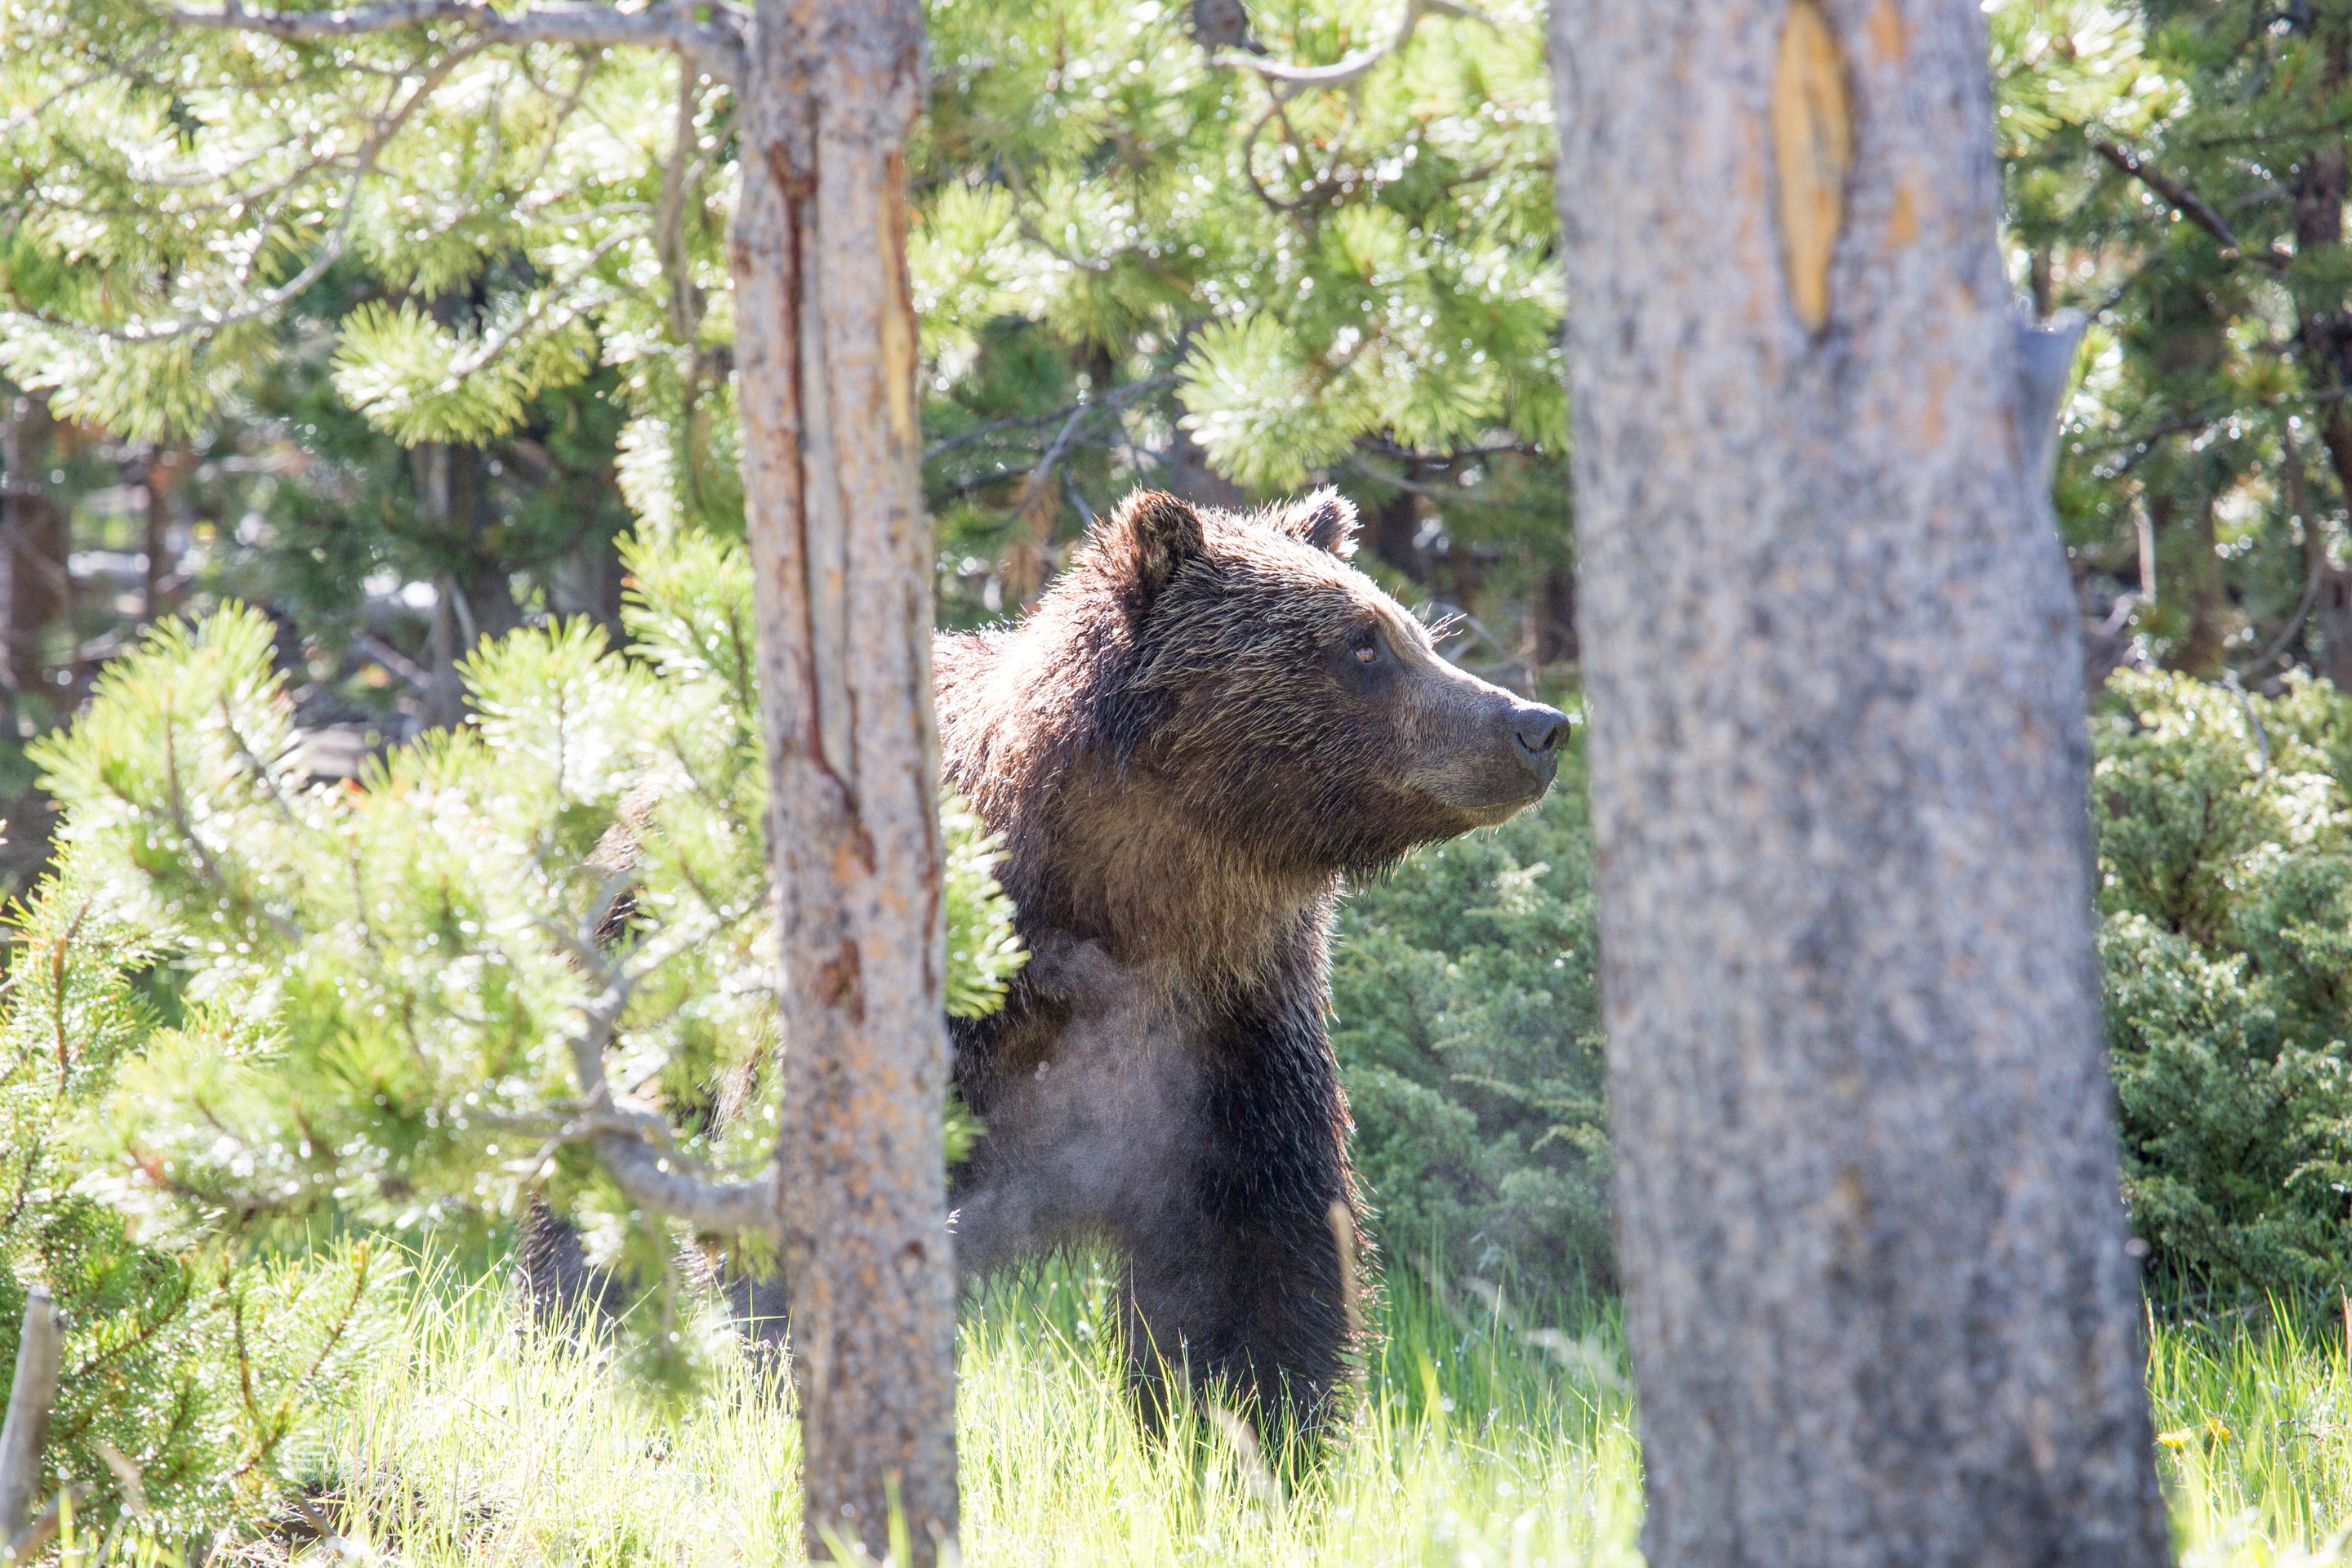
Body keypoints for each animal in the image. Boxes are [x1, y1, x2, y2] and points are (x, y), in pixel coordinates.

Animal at [936, 486, 1568, 1425]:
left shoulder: (1235, 1037)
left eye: (1411, 631)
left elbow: (1255, 1269)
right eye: (1363, 643)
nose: (1539, 727)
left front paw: (1241, 1427)